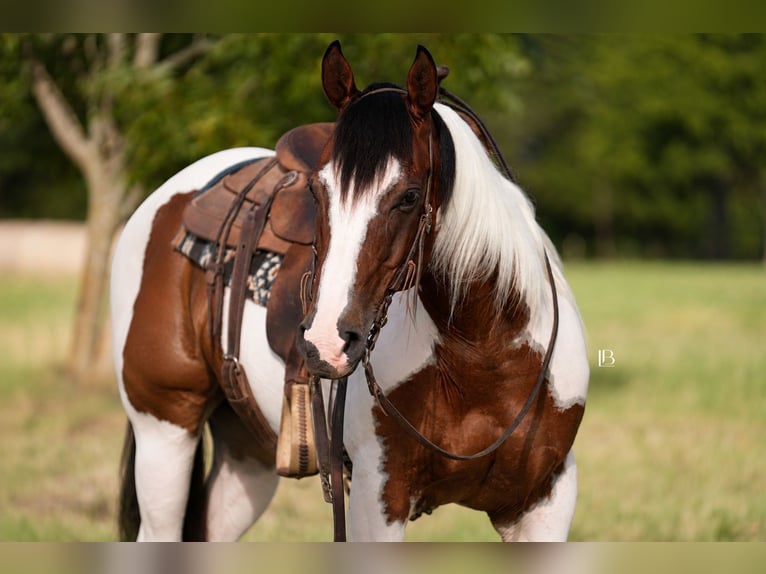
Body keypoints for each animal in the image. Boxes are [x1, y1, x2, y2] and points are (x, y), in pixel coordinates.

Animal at [111, 41, 589, 542]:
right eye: (317, 193)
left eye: (409, 197)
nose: (326, 343)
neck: (483, 355)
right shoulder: (378, 497)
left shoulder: (544, 501)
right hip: (165, 432)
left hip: (247, 451)